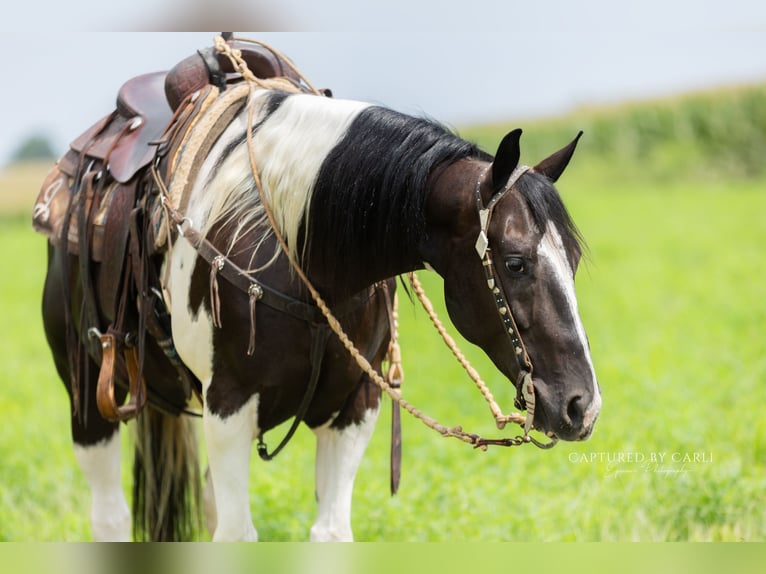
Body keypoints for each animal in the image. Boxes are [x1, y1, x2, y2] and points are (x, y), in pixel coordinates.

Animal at [37, 43, 600, 542]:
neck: (303, 250)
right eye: (515, 262)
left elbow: (329, 532)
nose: (583, 407)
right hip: (88, 395)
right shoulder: (228, 406)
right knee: (110, 515)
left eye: (573, 260)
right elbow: (237, 535)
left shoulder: (356, 408)